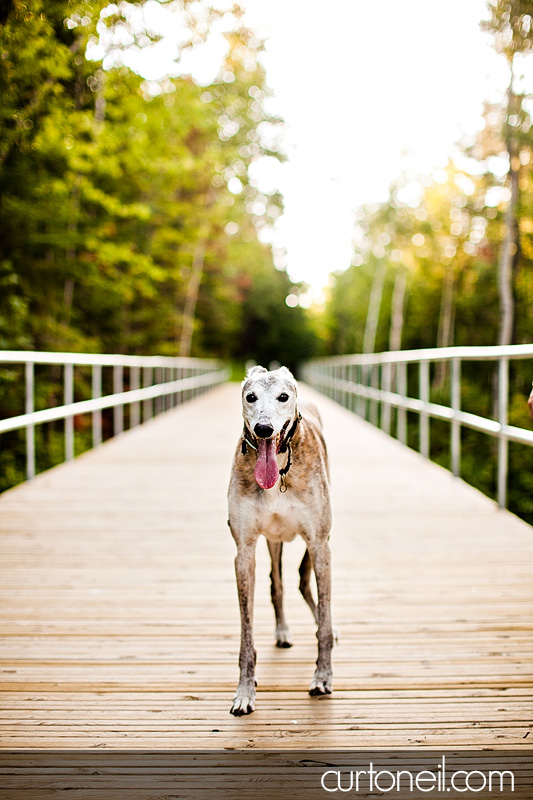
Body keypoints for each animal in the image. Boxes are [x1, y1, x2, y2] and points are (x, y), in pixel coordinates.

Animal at [228, 366, 332, 716]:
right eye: (250, 396)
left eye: (283, 396)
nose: (264, 429)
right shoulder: (244, 551)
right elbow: (246, 634)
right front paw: (245, 691)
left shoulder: (320, 543)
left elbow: (324, 623)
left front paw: (322, 677)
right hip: (273, 541)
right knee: (278, 582)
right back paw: (283, 629)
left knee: (303, 580)